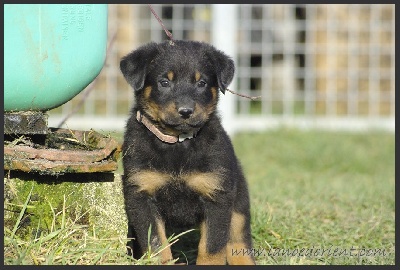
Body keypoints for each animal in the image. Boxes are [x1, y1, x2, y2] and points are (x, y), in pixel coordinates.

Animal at [120, 40, 255, 266]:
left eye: (201, 83)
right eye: (164, 82)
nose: (185, 111)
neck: (178, 143)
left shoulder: (217, 196)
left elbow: (212, 248)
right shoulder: (141, 194)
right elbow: (157, 244)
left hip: (238, 204)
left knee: (238, 243)